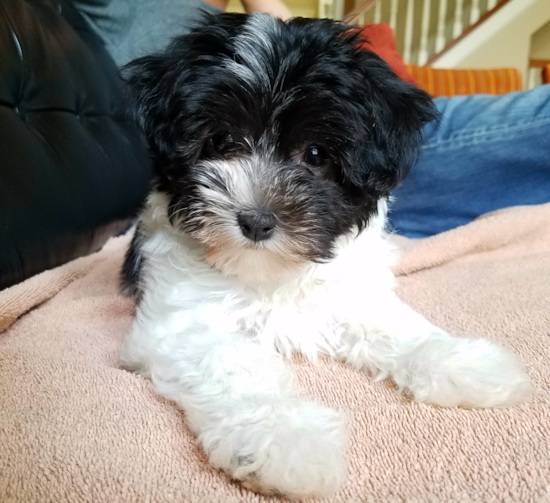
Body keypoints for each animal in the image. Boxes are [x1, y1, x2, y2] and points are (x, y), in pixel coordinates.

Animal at [119, 11, 536, 500]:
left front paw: (463, 362)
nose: (257, 221)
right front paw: (284, 438)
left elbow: (398, 327)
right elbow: (234, 367)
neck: (271, 273)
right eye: (221, 142)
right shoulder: (181, 322)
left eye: (316, 154)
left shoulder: (351, 292)